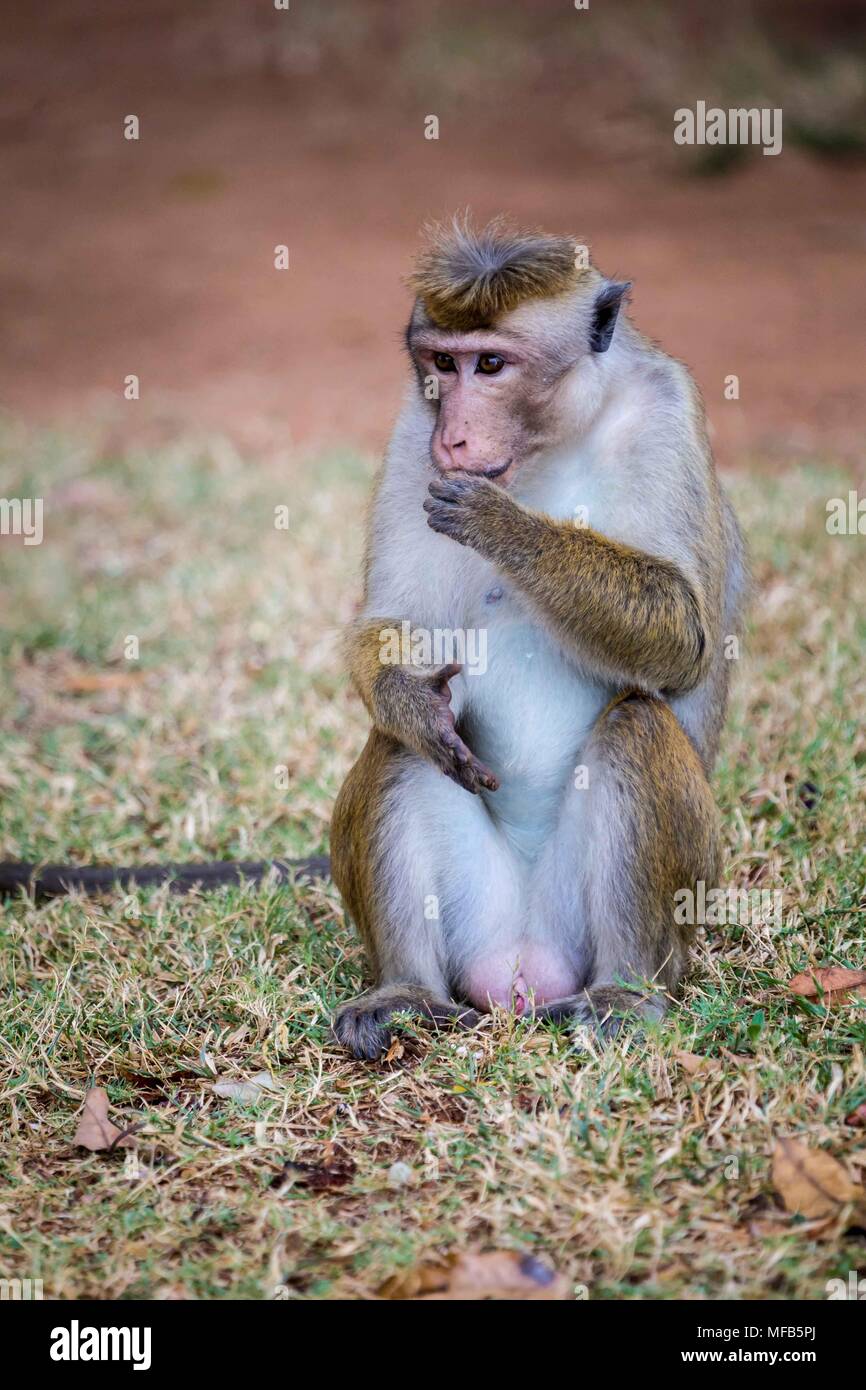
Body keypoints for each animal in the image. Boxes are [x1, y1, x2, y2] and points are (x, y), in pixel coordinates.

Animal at [329, 217, 747, 1060]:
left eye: (491, 364)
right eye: (442, 363)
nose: (455, 436)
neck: (555, 438)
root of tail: (521, 969)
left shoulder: (669, 409)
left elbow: (684, 632)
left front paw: (505, 527)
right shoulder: (411, 426)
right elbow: (397, 621)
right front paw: (407, 695)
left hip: (635, 918)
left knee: (636, 725)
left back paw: (624, 993)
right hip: (478, 914)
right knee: (402, 746)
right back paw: (405, 993)